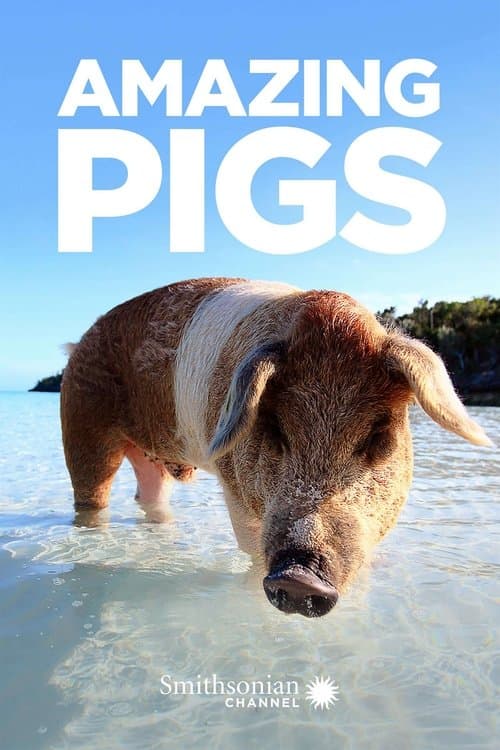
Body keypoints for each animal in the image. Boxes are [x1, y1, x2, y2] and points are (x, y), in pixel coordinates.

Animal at [61, 278, 492, 617]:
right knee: (92, 495)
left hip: (149, 459)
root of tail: (76, 344)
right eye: (274, 428)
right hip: (81, 427)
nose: (300, 577)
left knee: (150, 496)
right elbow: (252, 550)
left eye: (378, 436)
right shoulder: (236, 493)